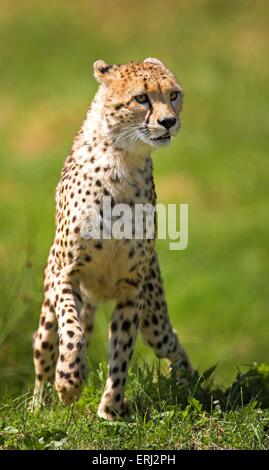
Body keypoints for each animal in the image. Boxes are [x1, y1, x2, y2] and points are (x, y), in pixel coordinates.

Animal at [32, 57, 192, 420]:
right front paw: (68, 382)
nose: (169, 121)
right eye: (141, 98)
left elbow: (121, 353)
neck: (124, 160)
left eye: (173, 94)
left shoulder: (132, 289)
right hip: (49, 309)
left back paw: (189, 383)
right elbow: (73, 332)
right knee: (44, 351)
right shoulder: (66, 276)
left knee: (172, 341)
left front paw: (111, 411)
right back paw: (38, 405)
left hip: (155, 317)